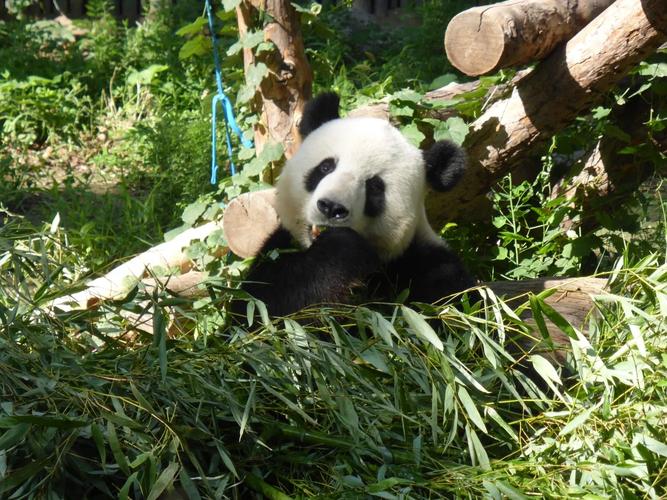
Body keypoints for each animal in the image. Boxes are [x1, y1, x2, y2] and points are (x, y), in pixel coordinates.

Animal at [236, 92, 476, 317]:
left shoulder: (428, 267)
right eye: (326, 167)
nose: (332, 207)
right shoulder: (275, 253)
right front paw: (339, 251)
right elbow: (260, 305)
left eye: (375, 187)